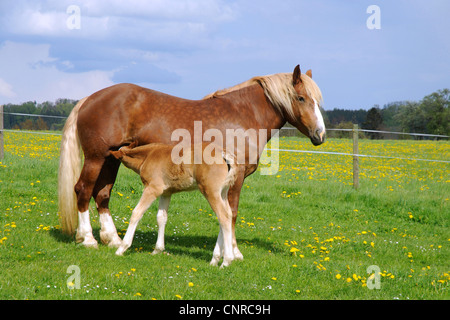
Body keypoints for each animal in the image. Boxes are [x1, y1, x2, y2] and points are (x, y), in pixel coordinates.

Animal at [110, 142, 239, 268]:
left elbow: (136, 212)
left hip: (210, 191)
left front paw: (122, 248)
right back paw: (215, 260)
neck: (148, 156)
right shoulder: (166, 193)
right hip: (222, 192)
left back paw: (226, 260)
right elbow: (161, 217)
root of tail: (223, 153)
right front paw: (157, 250)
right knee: (228, 215)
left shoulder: (153, 189)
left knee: (223, 217)